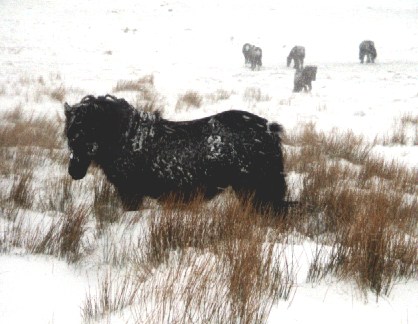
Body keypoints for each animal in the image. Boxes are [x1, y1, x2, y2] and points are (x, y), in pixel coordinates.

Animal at [63, 93, 290, 213]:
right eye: (69, 135)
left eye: (84, 133)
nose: (74, 171)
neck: (127, 137)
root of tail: (269, 128)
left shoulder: (130, 193)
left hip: (256, 191)